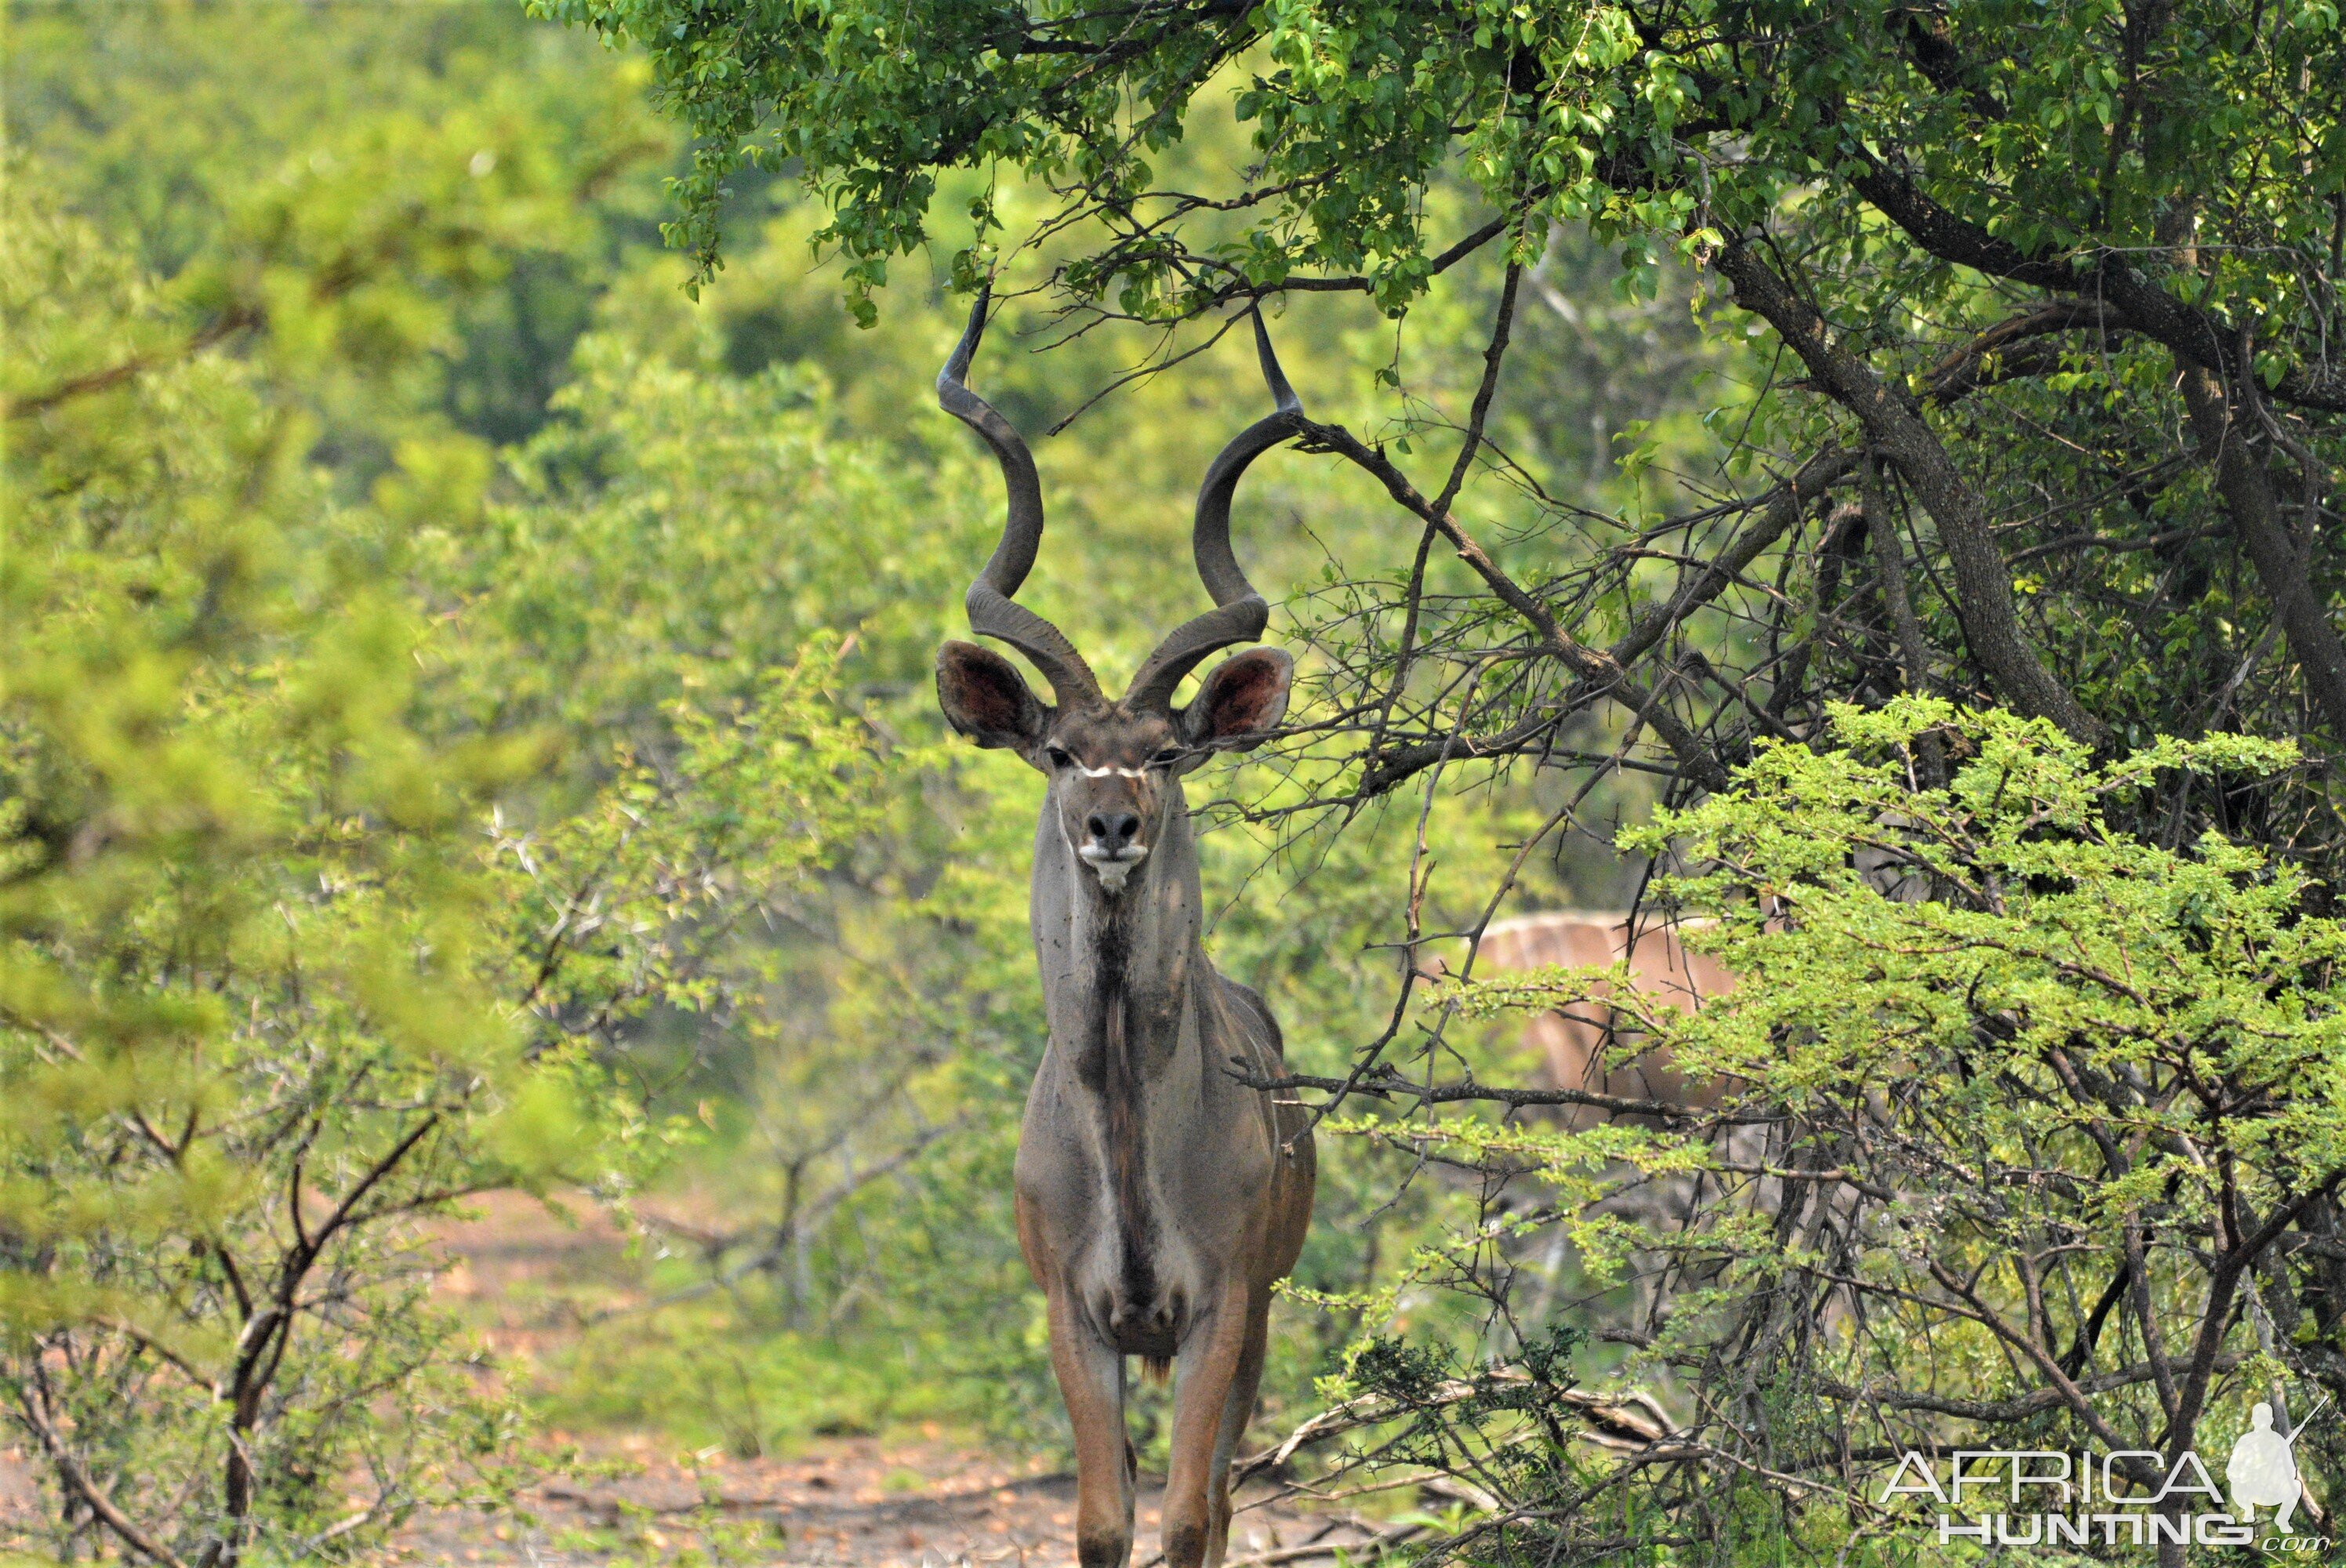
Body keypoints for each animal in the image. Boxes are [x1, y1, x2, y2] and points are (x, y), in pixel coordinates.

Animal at [924, 293, 1313, 1567]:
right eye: (1057, 749)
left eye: (1166, 753)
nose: (1110, 823)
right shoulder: (1073, 1314)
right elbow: (1102, 1520)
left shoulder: (1223, 1306)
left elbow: (1188, 1514)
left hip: (1262, 1324)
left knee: (1224, 1498)